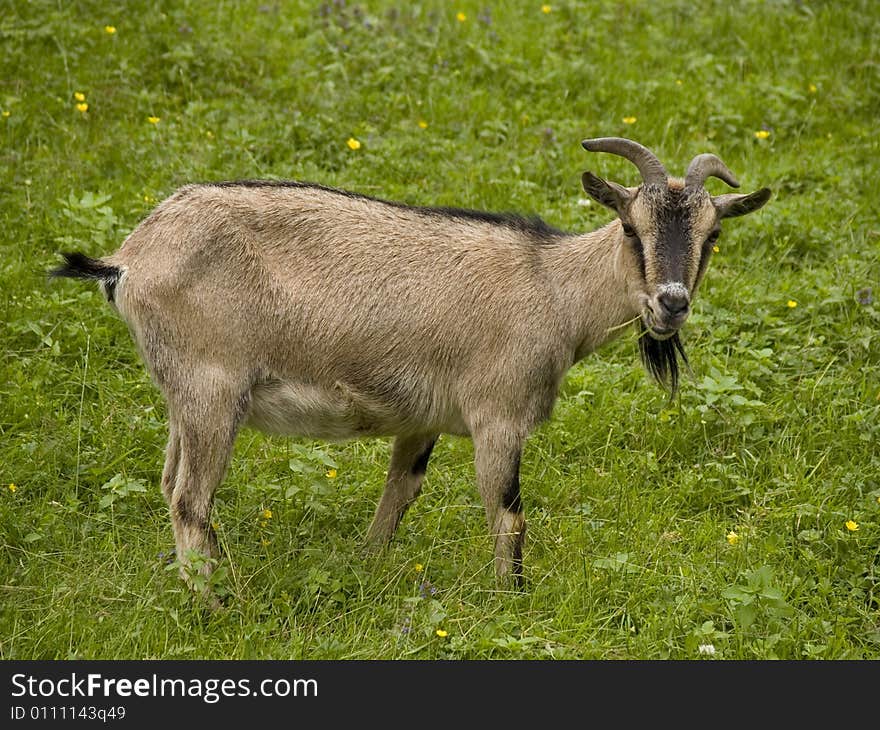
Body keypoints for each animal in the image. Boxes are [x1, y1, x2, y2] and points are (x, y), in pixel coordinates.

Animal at [53, 138, 768, 592]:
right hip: (212, 388)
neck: (551, 288)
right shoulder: (498, 416)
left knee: (169, 483)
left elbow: (399, 494)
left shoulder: (421, 420)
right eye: (629, 226)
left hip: (184, 395)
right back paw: (214, 603)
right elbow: (507, 514)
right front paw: (513, 602)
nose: (670, 303)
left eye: (712, 235)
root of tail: (128, 260)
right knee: (189, 499)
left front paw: (366, 569)